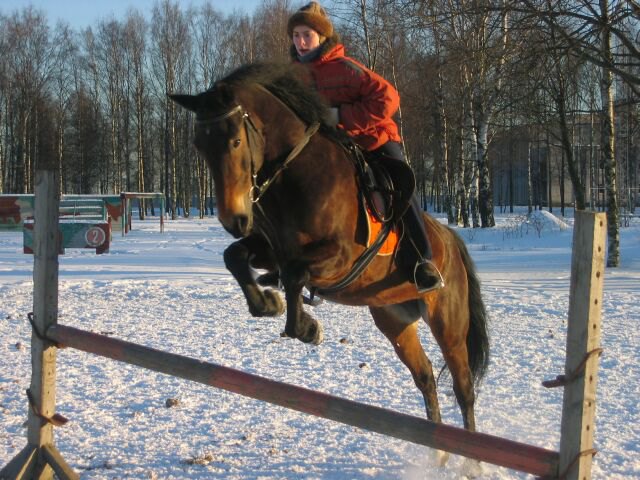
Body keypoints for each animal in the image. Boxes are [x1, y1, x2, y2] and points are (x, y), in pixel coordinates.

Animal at [170, 62, 490, 450]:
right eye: (199, 146)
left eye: (235, 141)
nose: (234, 220)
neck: (293, 174)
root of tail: (451, 240)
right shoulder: (271, 250)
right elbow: (236, 257)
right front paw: (268, 303)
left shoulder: (341, 257)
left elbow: (295, 275)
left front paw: (306, 327)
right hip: (394, 320)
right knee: (426, 376)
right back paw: (438, 450)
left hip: (448, 323)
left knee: (463, 387)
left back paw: (468, 453)